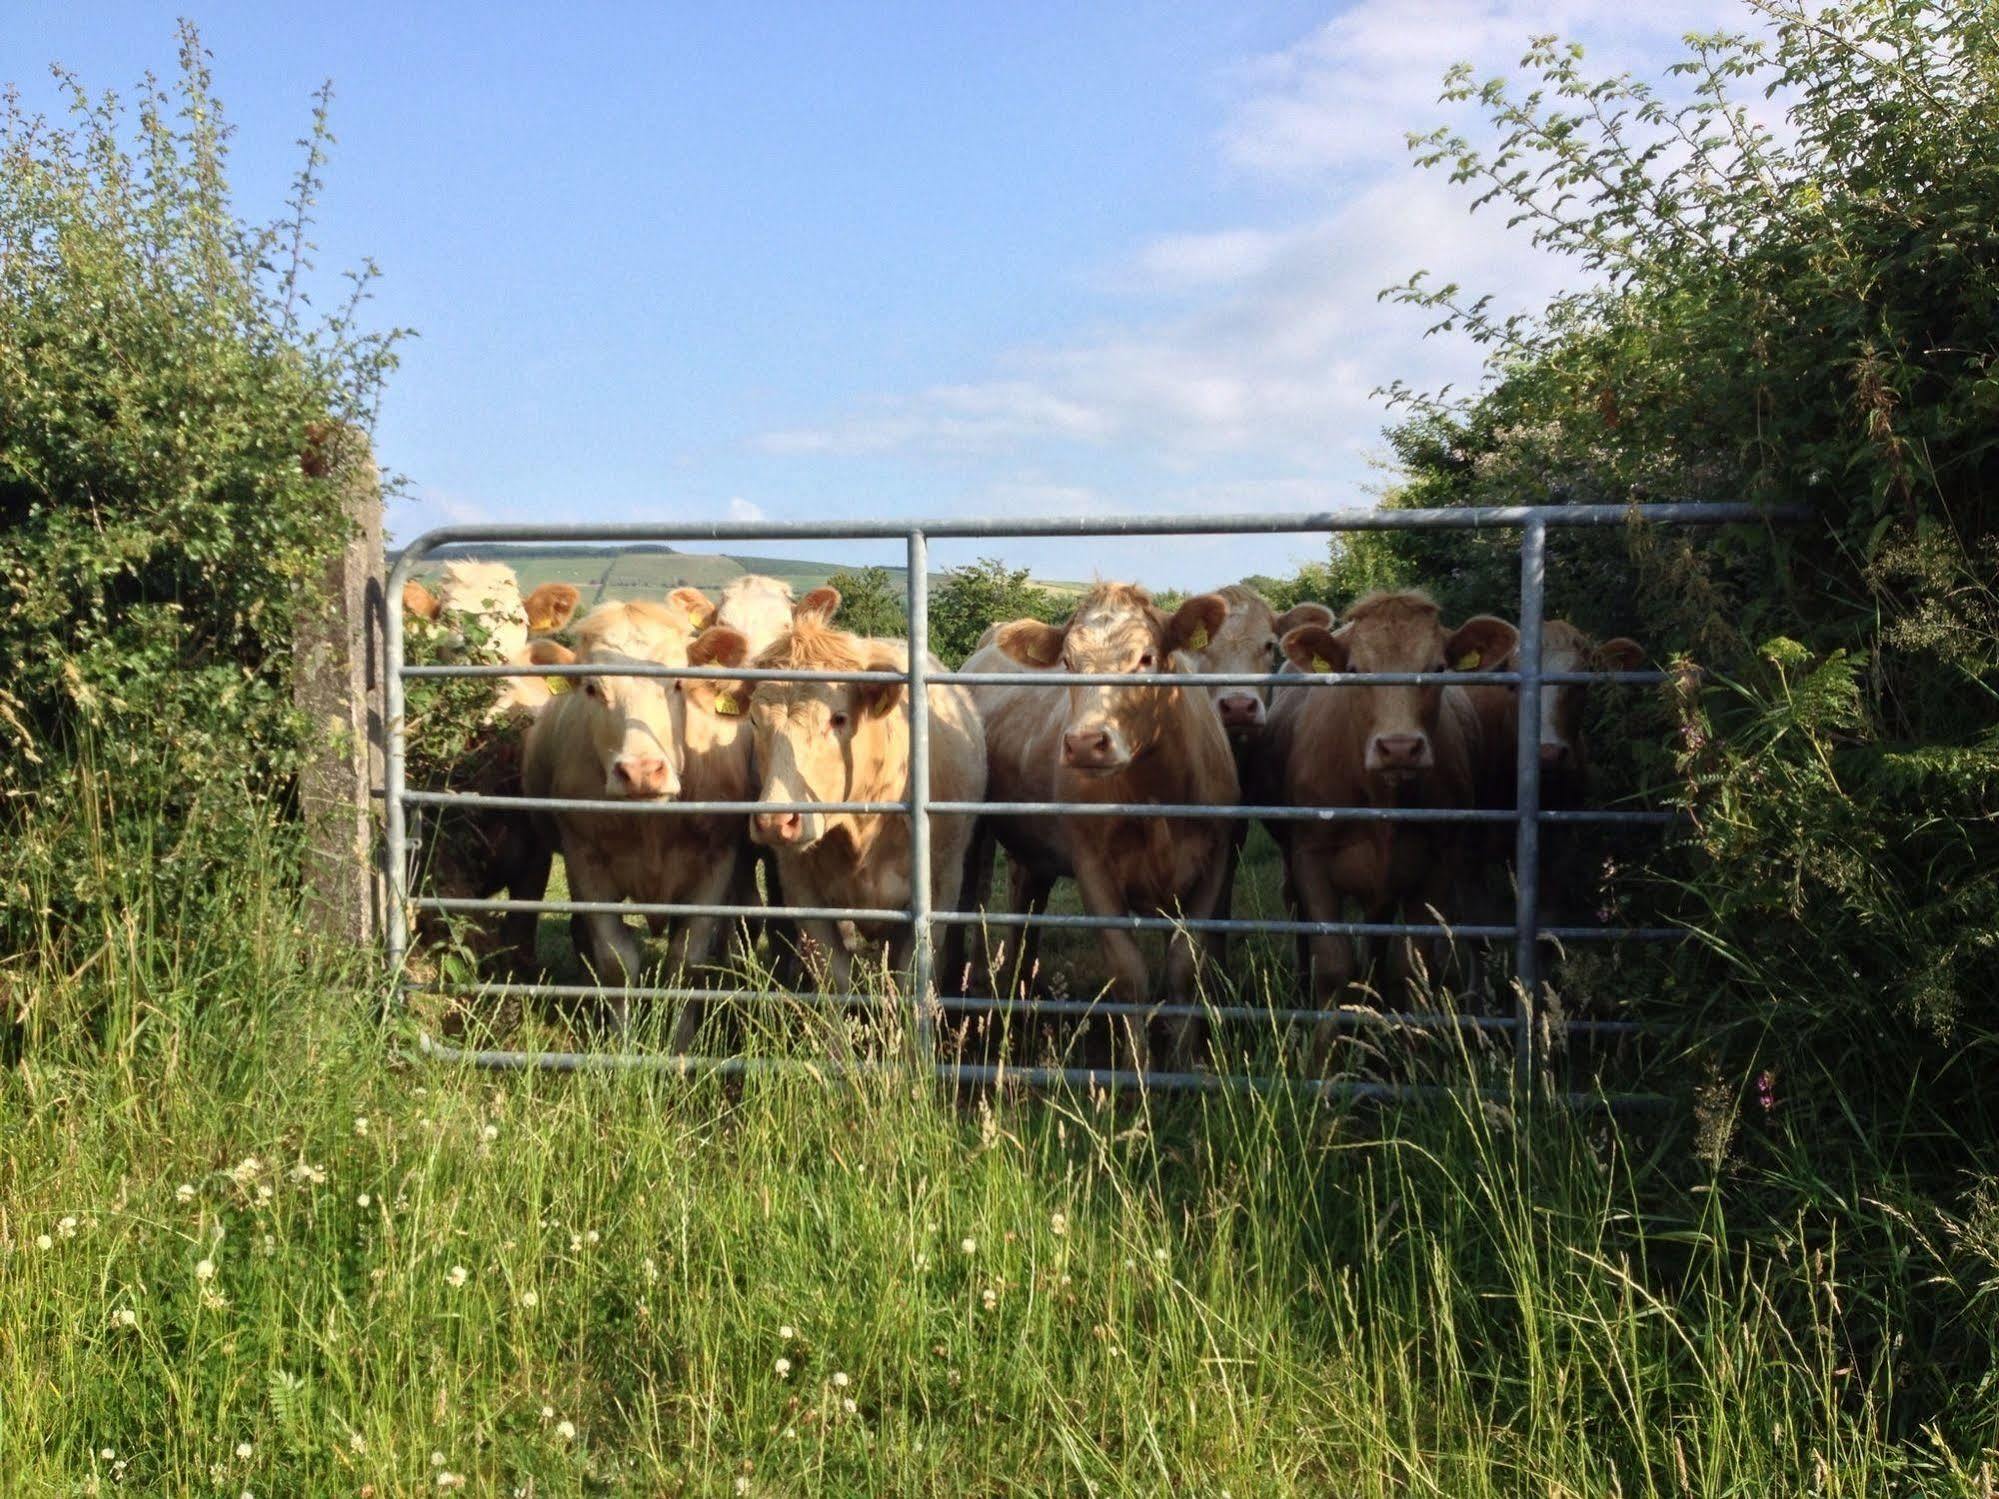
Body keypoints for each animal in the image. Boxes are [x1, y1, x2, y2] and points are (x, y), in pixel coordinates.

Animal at [519, 599, 751, 1047]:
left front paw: (680, 1041)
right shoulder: (584, 862)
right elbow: (616, 960)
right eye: (592, 688)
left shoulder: (716, 864)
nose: (643, 771)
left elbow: (686, 961)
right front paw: (621, 1041)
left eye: (677, 683)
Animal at [727, 591, 991, 1003]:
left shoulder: (939, 887)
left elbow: (910, 977)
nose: (775, 821)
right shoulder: (803, 889)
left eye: (838, 718)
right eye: (754, 719)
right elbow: (836, 978)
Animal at [967, 583, 1231, 1071]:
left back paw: (1023, 987)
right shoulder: (1093, 869)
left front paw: (1183, 1063)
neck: (1155, 798)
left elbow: (1184, 966)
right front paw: (1137, 1071)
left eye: (1146, 658)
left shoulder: (1213, 863)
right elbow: (1129, 973)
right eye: (1068, 663)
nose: (1086, 743)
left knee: (1027, 903)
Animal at [1255, 591, 1519, 1031]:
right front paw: (1322, 1048)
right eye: (1354, 671)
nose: (1399, 747)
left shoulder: (1437, 865)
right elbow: (1333, 966)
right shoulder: (1310, 858)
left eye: (1438, 669)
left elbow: (1412, 967)